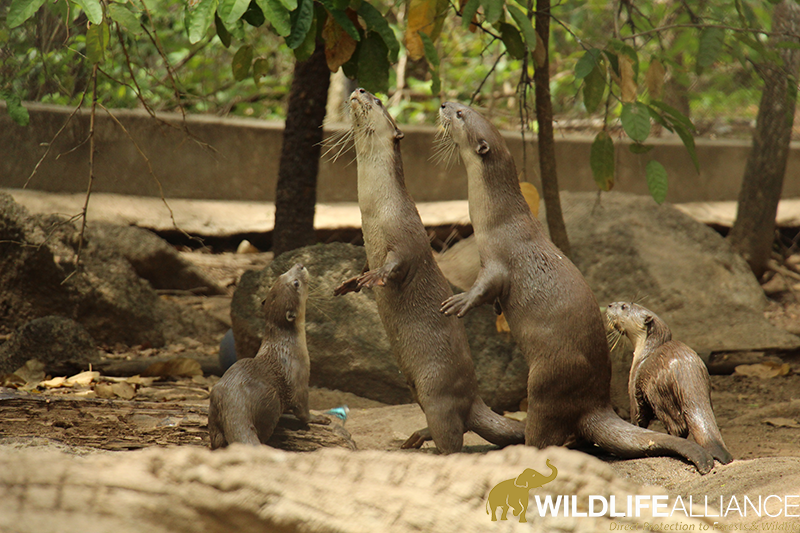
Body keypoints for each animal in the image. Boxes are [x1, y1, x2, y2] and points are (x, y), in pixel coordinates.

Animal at [209, 262, 332, 448]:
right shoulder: (300, 380)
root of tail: (235, 401)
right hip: (271, 403)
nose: (300, 265)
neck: (288, 345)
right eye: (296, 283)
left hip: (214, 401)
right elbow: (303, 411)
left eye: (281, 275)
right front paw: (319, 418)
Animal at [334, 88, 528, 454]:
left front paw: (373, 278)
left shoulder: (406, 235)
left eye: (378, 102)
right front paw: (351, 281)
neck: (376, 210)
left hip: (437, 391)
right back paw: (413, 438)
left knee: (453, 433)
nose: (361, 90)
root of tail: (474, 398)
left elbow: (399, 263)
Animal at [440, 101, 716, 474]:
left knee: (543, 433)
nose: (444, 104)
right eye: (465, 107)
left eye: (461, 116)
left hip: (547, 381)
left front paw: (458, 302)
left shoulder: (498, 261)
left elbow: (484, 288)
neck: (499, 220)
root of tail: (594, 403)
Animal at [608, 302, 732, 464]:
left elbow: (638, 416)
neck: (644, 352)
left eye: (624, 306)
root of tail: (686, 372)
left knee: (677, 427)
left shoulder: (634, 384)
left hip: (661, 397)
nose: (609, 305)